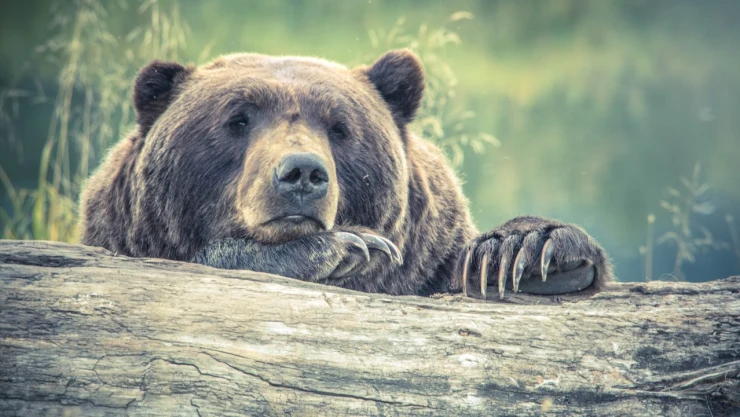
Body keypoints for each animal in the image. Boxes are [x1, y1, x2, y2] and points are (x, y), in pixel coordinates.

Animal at [79, 49, 613, 299]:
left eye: (339, 127)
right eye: (238, 119)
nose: (301, 172)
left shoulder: (429, 258)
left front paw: (524, 252)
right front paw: (347, 247)